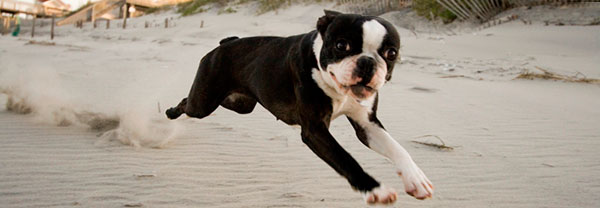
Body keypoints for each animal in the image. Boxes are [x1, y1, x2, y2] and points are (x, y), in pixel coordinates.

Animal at [166, 10, 434, 205]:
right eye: (341, 46)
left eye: (391, 53)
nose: (367, 62)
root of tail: (225, 43)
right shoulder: (315, 131)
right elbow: (346, 159)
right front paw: (375, 189)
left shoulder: (367, 125)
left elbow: (398, 149)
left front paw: (416, 179)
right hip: (204, 102)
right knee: (188, 104)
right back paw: (170, 113)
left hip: (238, 104)